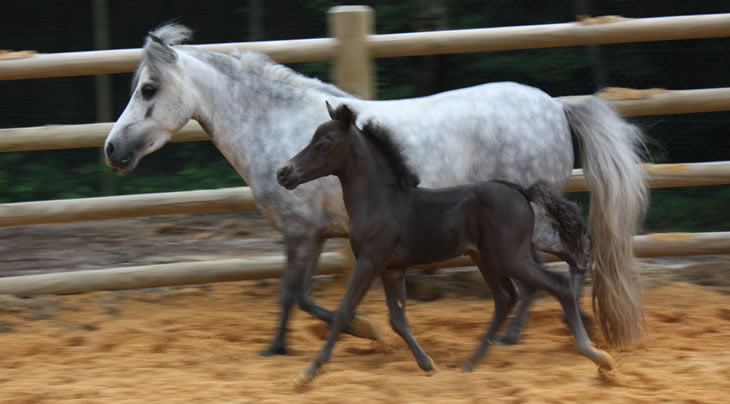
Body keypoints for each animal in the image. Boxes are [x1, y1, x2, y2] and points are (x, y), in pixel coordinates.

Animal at [104, 23, 648, 356]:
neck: (277, 127)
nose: (113, 149)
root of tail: (556, 105)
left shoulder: (301, 232)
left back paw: (545, 333)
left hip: (524, 221)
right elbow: (297, 295)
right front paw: (284, 347)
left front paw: (356, 333)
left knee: (566, 261)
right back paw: (553, 331)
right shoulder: (315, 235)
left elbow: (293, 294)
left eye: (148, 88)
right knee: (566, 261)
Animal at [276, 102, 612, 386]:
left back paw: (597, 355)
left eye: (323, 144)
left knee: (556, 285)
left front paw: (309, 371)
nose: (284, 172)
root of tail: (521, 191)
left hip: (510, 257)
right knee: (506, 298)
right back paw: (471, 362)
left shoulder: (370, 260)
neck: (380, 200)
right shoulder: (392, 269)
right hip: (486, 259)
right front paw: (428, 364)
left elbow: (344, 310)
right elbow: (397, 319)